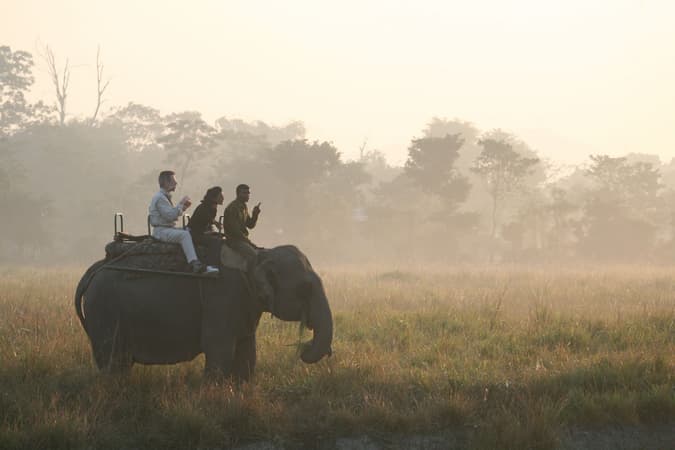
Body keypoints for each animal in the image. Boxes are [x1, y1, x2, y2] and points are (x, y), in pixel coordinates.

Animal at [74, 245, 333, 381]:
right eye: (305, 288)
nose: (304, 349)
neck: (257, 254)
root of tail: (93, 270)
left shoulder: (245, 304)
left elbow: (247, 352)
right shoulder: (222, 297)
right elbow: (219, 349)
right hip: (105, 311)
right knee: (113, 361)